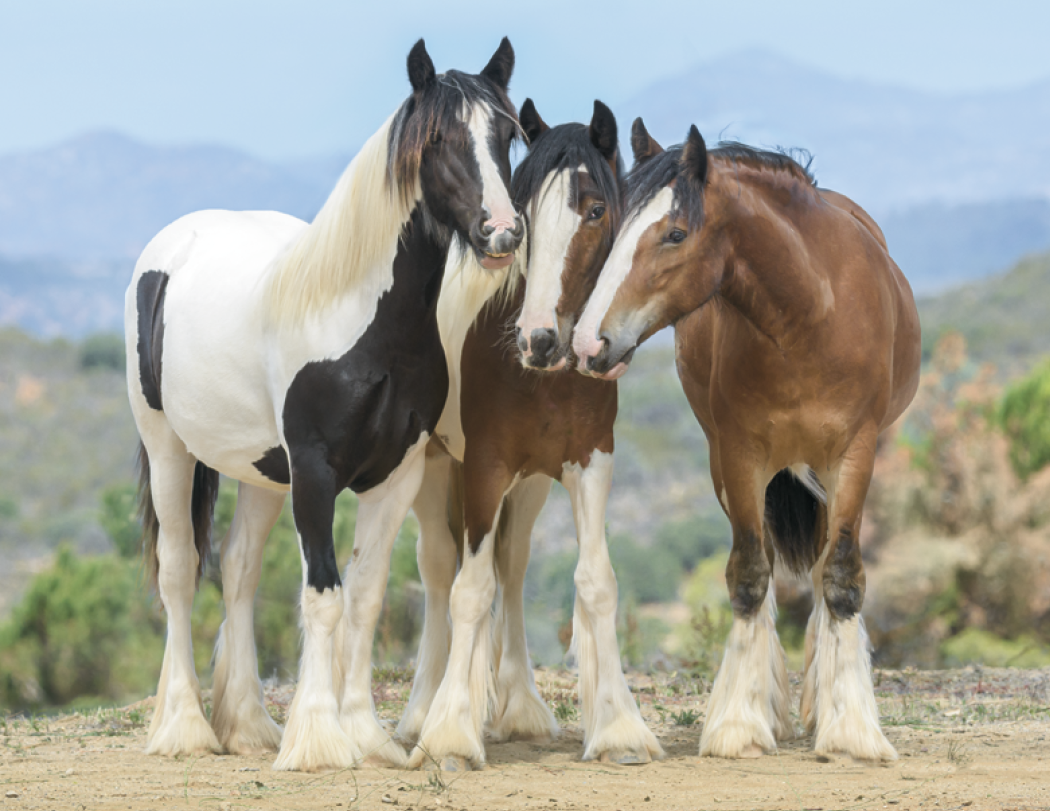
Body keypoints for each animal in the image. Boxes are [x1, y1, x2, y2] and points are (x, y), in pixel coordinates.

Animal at [125, 38, 523, 773]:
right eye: (440, 140)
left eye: (506, 136)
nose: (503, 234)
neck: (363, 322)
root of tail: (174, 243)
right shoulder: (314, 473)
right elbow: (323, 595)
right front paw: (318, 740)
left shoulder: (396, 475)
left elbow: (363, 598)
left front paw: (366, 735)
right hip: (169, 448)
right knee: (179, 572)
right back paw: (186, 726)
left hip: (259, 472)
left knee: (239, 571)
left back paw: (248, 726)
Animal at [392, 99, 662, 771]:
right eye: (526, 215)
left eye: (595, 210)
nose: (536, 340)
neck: (545, 378)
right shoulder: (484, 469)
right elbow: (468, 590)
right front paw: (449, 735)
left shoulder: (590, 463)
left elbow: (596, 583)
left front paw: (619, 728)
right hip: (437, 469)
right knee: (441, 569)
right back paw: (423, 711)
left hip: (530, 485)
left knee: (511, 566)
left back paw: (518, 708)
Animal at [573, 119, 921, 761]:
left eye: (675, 233)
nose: (588, 343)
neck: (810, 318)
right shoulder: (739, 456)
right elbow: (750, 576)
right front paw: (740, 722)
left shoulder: (855, 455)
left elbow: (841, 578)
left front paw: (852, 731)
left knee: (825, 566)